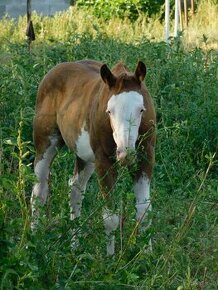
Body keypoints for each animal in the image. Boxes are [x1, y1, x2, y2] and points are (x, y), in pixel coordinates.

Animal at [31, 59, 156, 256]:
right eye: (109, 111)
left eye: (141, 110)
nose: (125, 154)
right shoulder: (104, 162)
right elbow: (110, 217)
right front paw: (110, 258)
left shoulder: (145, 158)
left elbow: (144, 211)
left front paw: (147, 256)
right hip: (45, 144)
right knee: (39, 191)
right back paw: (32, 243)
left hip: (86, 157)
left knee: (75, 189)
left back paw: (75, 246)